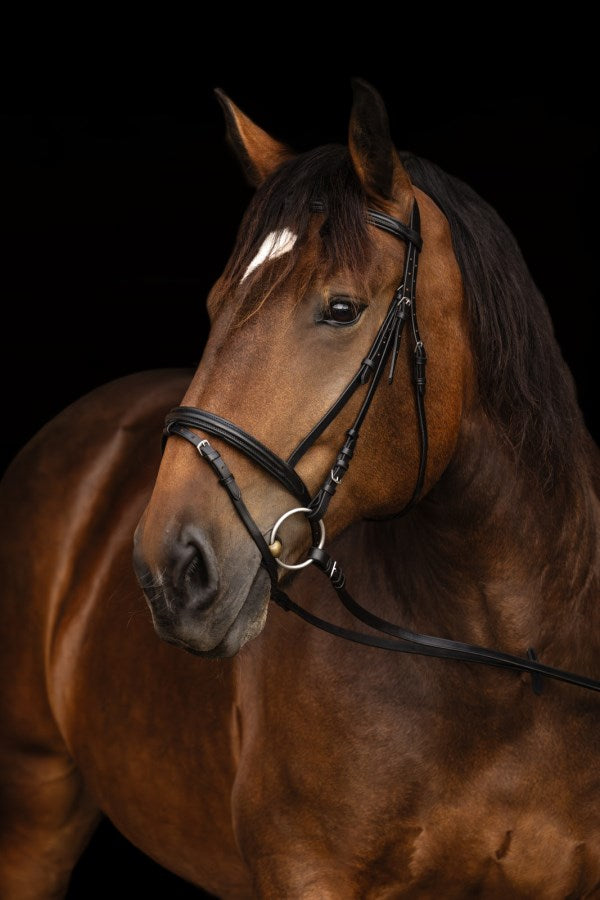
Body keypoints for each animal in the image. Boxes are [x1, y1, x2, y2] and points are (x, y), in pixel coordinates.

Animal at [1, 79, 599, 898]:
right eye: (217, 305)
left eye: (341, 309)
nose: (171, 571)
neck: (508, 673)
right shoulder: (306, 872)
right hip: (34, 803)